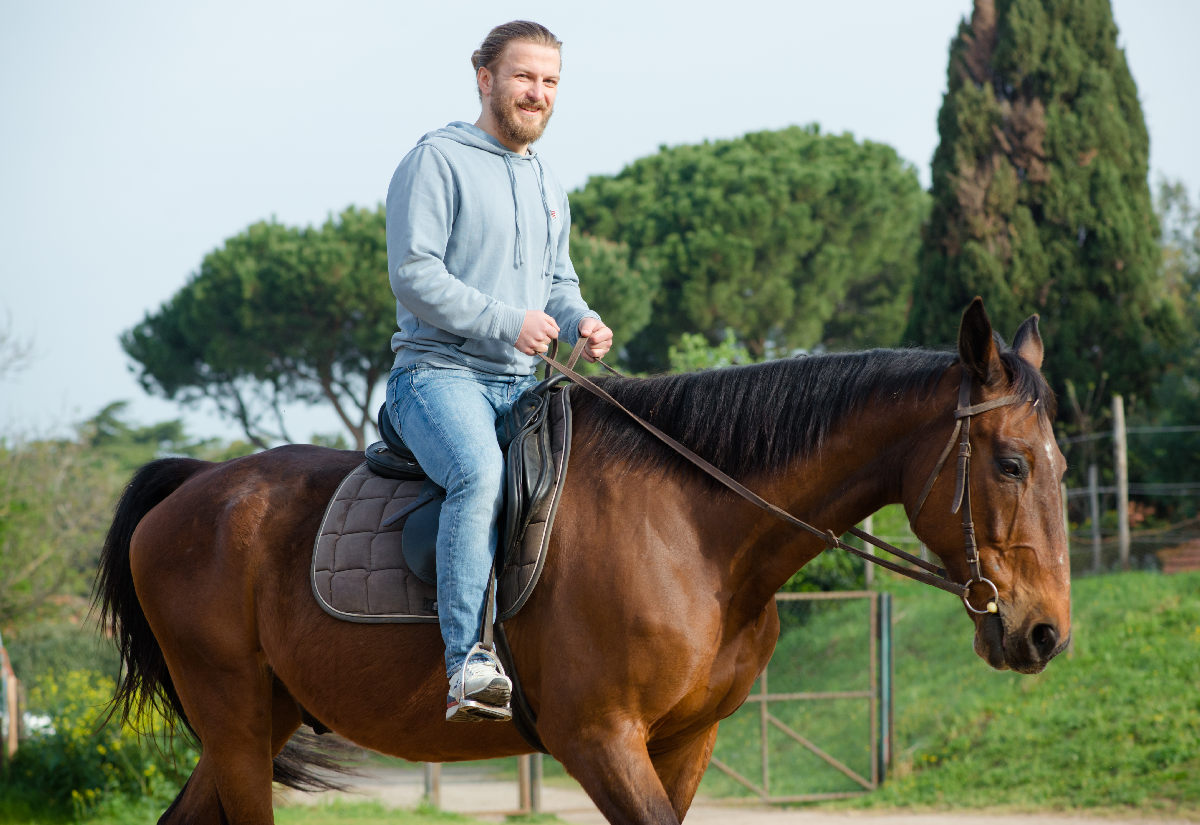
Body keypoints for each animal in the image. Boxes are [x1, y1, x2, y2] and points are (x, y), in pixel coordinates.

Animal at [93, 298, 1070, 825]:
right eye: (1011, 464)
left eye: (1063, 466)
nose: (1044, 634)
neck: (697, 533)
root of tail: (195, 485)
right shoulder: (599, 739)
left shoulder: (684, 742)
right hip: (233, 719)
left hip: (258, 720)